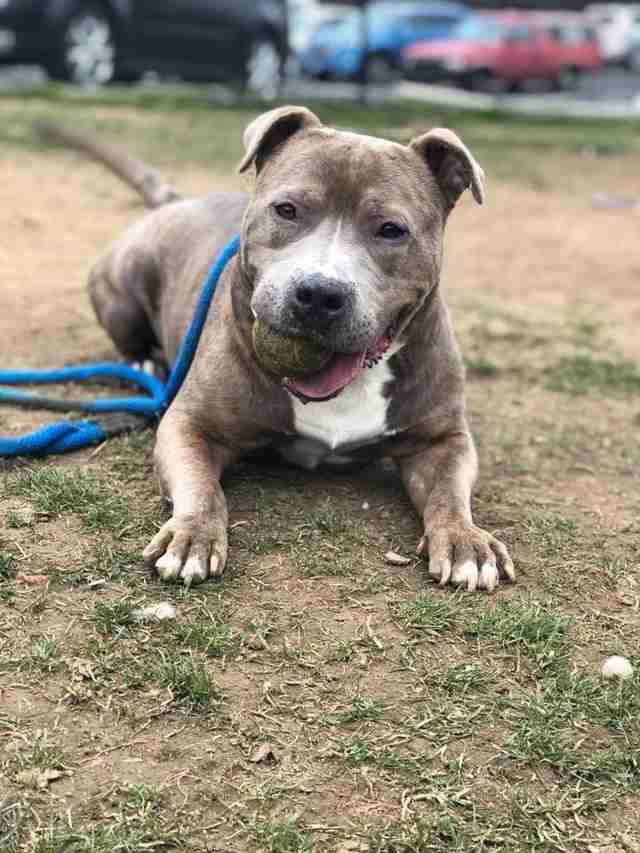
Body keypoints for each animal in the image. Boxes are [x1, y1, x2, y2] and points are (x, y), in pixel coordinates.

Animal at [42, 106, 516, 592]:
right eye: (286, 210)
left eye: (391, 230)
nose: (320, 294)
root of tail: (178, 201)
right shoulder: (189, 424)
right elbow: (202, 487)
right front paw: (192, 534)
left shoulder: (443, 438)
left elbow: (449, 495)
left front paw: (465, 540)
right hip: (123, 280)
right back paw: (143, 361)